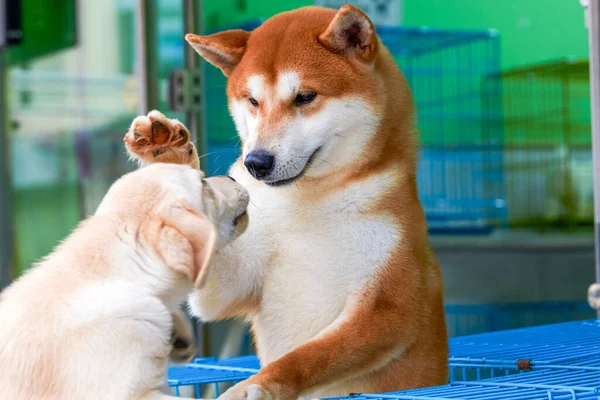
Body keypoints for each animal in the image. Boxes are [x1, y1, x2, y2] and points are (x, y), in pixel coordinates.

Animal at [125, 3, 446, 400]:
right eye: (253, 100)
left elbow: (310, 355)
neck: (306, 205)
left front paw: (256, 385)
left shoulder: (389, 307)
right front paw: (166, 150)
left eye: (305, 97)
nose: (256, 162)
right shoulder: (232, 282)